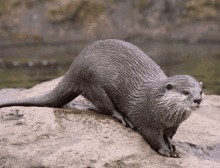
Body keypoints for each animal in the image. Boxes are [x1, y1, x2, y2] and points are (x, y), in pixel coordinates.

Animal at [0, 39, 203, 158]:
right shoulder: (145, 119)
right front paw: (166, 151)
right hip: (93, 82)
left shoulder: (173, 126)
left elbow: (169, 136)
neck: (159, 107)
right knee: (105, 106)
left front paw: (173, 146)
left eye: (200, 91)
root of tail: (74, 67)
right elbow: (153, 138)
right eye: (186, 92)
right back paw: (122, 117)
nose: (198, 100)